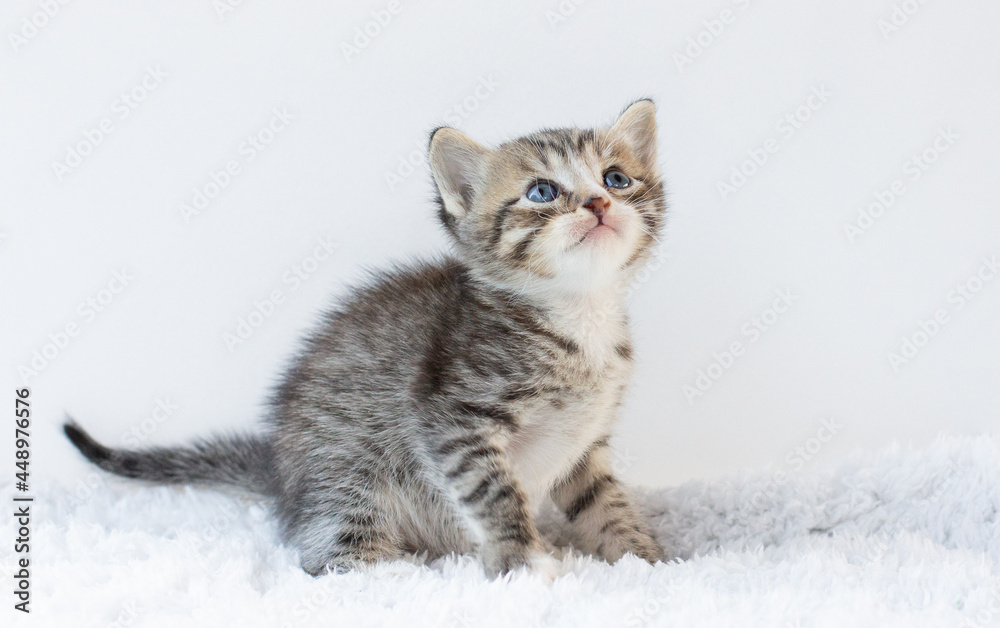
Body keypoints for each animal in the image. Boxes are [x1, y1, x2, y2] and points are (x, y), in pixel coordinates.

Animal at [66, 99, 668, 580]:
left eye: (616, 178)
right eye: (542, 191)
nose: (598, 203)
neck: (579, 316)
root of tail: (278, 469)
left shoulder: (584, 444)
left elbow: (605, 502)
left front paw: (645, 561)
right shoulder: (454, 420)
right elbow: (496, 493)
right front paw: (522, 562)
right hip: (350, 479)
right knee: (334, 555)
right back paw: (395, 577)